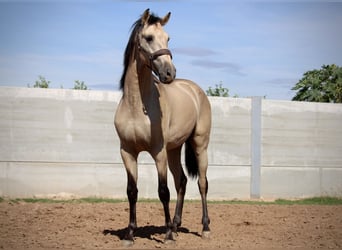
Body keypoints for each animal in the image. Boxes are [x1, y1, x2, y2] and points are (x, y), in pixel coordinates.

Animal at [115, 8, 211, 245]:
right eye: (149, 38)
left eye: (168, 38)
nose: (169, 73)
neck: (136, 106)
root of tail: (195, 90)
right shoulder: (127, 152)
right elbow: (132, 191)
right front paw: (130, 234)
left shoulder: (158, 153)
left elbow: (163, 191)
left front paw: (167, 235)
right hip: (174, 149)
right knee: (182, 181)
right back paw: (176, 225)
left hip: (199, 145)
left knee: (202, 183)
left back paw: (204, 228)